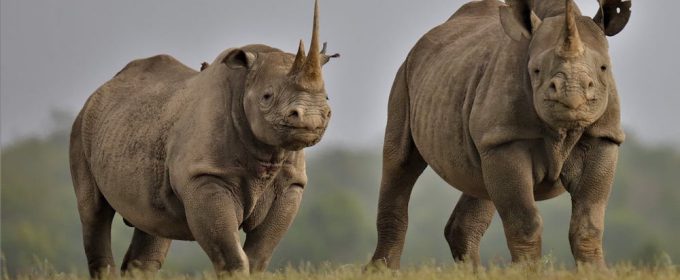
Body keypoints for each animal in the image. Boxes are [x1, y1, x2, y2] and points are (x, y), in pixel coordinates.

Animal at [70, 0, 338, 276]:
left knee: (152, 223)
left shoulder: (290, 184)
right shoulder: (205, 177)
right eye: (267, 97)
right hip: (82, 127)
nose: (312, 118)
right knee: (94, 212)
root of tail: (101, 90)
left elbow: (259, 255)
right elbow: (231, 255)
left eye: (327, 97)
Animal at [372, 0, 632, 268]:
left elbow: (588, 221)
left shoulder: (604, 136)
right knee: (400, 162)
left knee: (479, 181)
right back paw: (383, 270)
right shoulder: (505, 140)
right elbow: (524, 220)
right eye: (536, 70)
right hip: (405, 76)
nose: (572, 95)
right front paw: (526, 271)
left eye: (603, 68)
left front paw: (596, 271)